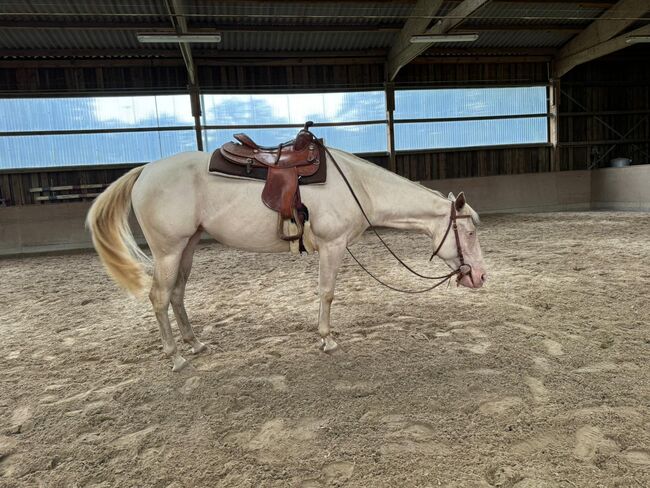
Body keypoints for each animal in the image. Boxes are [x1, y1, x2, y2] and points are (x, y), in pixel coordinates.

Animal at [86, 148, 484, 370]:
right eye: (470, 232)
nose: (479, 277)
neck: (360, 186)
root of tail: (145, 171)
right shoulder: (333, 246)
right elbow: (327, 293)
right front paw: (327, 339)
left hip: (187, 246)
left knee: (177, 294)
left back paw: (194, 344)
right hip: (168, 250)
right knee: (159, 297)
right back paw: (175, 357)